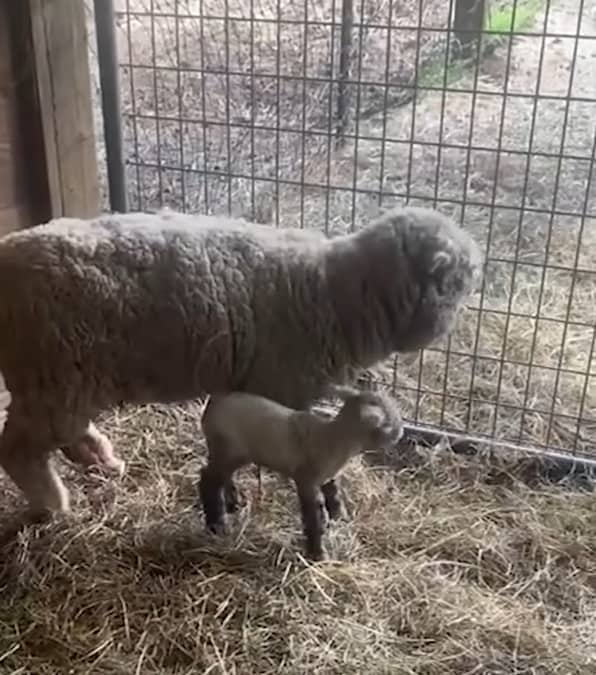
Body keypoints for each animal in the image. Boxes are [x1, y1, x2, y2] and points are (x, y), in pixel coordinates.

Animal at [0, 209, 482, 520]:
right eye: (460, 283)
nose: (450, 326)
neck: (337, 293)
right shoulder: (278, 387)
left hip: (68, 380)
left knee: (62, 434)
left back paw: (100, 459)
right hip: (53, 376)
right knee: (18, 447)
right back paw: (52, 501)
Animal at [198, 388, 402, 564]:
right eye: (387, 423)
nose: (400, 433)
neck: (332, 437)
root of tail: (212, 405)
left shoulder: (327, 477)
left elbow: (334, 495)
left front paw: (340, 519)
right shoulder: (306, 479)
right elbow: (314, 516)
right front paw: (318, 554)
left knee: (221, 476)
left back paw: (233, 504)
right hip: (229, 448)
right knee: (208, 479)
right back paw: (217, 524)